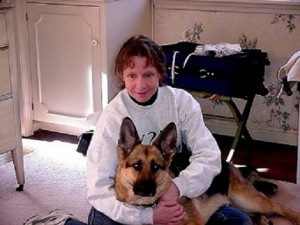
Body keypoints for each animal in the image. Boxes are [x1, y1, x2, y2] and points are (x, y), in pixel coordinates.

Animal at [115, 118, 300, 225]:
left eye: (155, 167)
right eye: (136, 165)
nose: (146, 190)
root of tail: (228, 163)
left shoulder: (194, 222)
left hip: (247, 200)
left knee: (278, 206)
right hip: (239, 204)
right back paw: (262, 220)